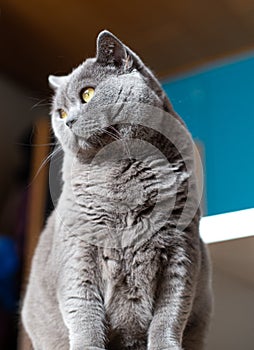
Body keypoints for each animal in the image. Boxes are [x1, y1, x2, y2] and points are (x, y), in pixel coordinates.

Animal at [21, 30, 212, 350]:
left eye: (87, 94)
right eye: (60, 112)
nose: (68, 121)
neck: (122, 172)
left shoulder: (181, 248)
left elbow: (170, 313)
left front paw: (165, 346)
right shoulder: (78, 251)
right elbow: (83, 310)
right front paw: (88, 346)